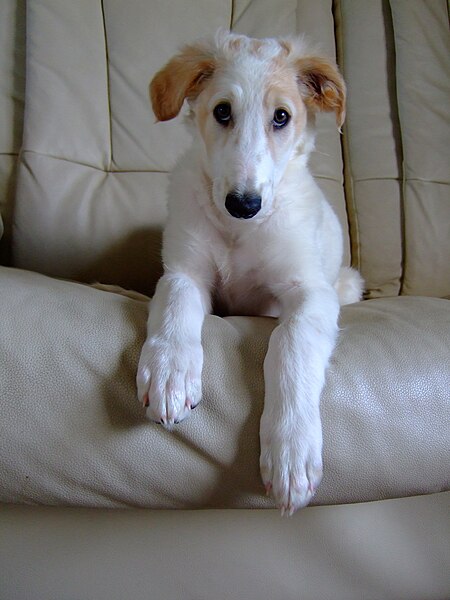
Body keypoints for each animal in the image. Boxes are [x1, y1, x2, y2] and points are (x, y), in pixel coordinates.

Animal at [136, 30, 362, 512]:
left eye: (282, 117)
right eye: (222, 111)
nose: (243, 204)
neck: (240, 232)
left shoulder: (309, 292)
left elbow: (289, 342)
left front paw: (291, 449)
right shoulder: (184, 271)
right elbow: (175, 306)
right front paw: (169, 372)